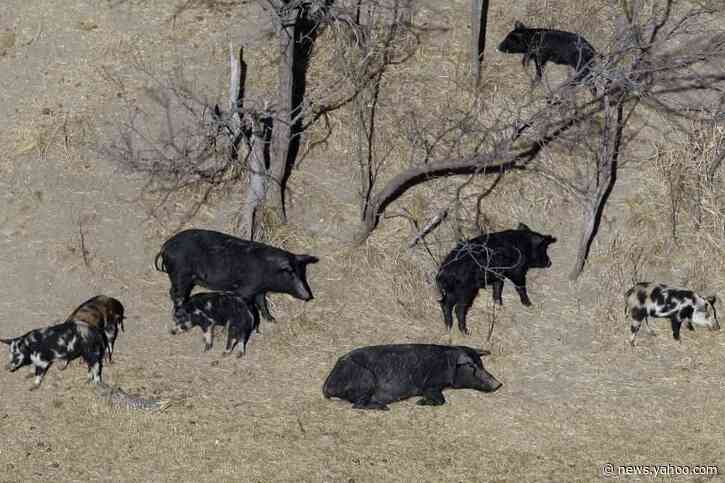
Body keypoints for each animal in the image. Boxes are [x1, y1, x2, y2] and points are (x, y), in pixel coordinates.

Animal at [155, 229, 319, 322]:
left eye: (302, 273)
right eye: (290, 274)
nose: (308, 296)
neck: (267, 270)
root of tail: (164, 247)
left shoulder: (259, 290)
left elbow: (262, 303)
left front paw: (272, 320)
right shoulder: (245, 290)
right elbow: (249, 306)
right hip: (180, 275)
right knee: (177, 294)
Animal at [322, 344, 502, 410]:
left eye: (482, 364)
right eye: (472, 366)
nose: (498, 384)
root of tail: (327, 385)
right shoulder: (430, 384)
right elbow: (441, 400)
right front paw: (419, 403)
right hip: (366, 378)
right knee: (357, 405)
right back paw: (384, 407)